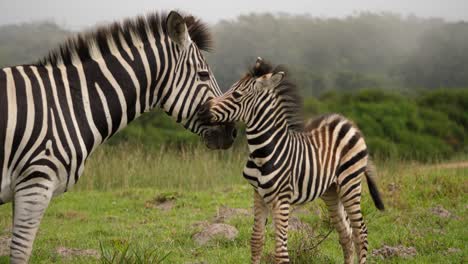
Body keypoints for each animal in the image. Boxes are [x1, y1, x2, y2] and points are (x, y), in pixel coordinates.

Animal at [200, 58, 384, 264]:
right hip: (331, 189)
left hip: (350, 183)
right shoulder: (258, 194)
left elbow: (281, 252)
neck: (262, 152)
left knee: (361, 233)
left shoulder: (282, 198)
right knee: (346, 233)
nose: (201, 110)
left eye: (237, 94)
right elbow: (256, 241)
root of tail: (347, 122)